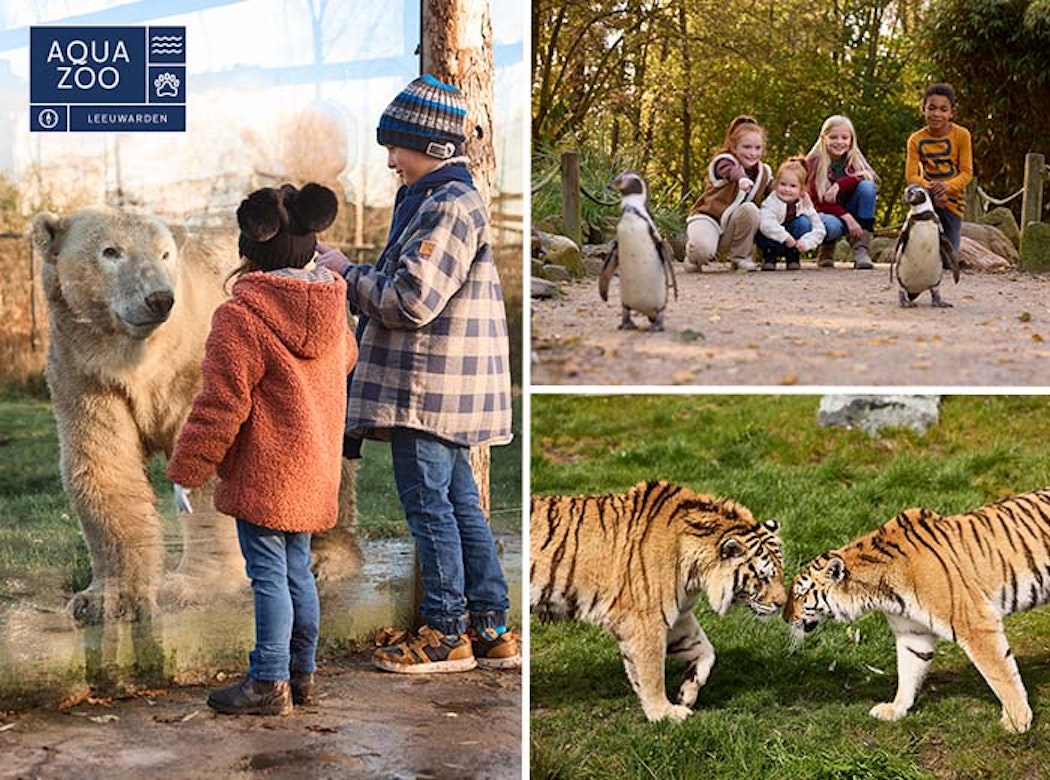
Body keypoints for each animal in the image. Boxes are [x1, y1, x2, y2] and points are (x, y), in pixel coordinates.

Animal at [30, 207, 359, 621]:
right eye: (111, 251)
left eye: (164, 254)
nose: (158, 299)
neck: (142, 359)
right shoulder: (86, 375)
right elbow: (104, 465)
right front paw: (106, 599)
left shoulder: (196, 366)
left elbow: (209, 455)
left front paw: (193, 585)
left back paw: (327, 558)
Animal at [529, 478, 785, 722]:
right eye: (763, 577)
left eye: (780, 572)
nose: (782, 604)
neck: (695, 571)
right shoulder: (645, 620)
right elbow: (652, 673)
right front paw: (664, 713)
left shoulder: (677, 614)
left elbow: (705, 650)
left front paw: (686, 695)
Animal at [785, 491, 1050, 734]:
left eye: (800, 594)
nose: (785, 617)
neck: (880, 591)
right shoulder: (912, 632)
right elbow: (908, 670)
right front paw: (895, 709)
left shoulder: (976, 624)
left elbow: (1000, 673)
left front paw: (1017, 720)